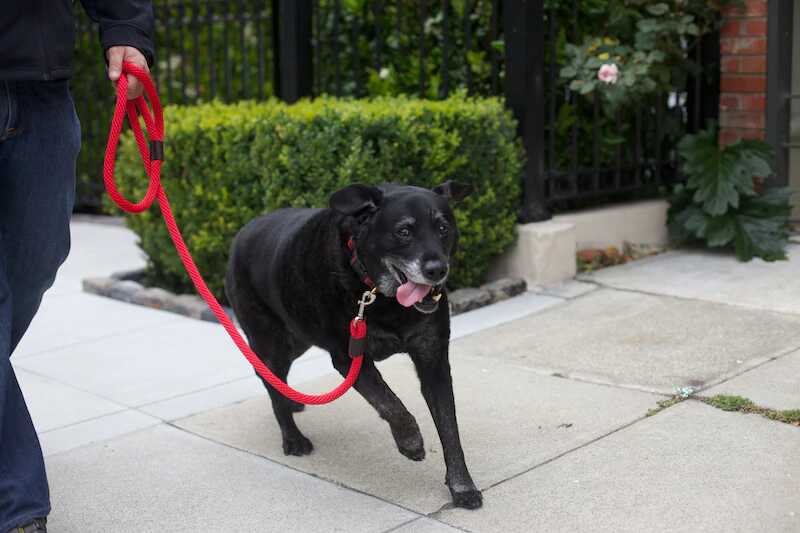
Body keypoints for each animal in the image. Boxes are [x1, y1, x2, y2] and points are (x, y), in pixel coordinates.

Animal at [228, 182, 484, 508]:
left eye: (443, 228)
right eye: (403, 232)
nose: (437, 270)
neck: (379, 295)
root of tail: (243, 232)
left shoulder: (434, 360)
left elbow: (450, 429)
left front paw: (462, 486)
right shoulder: (349, 359)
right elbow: (389, 402)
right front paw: (410, 441)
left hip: (296, 337)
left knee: (276, 376)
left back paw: (292, 401)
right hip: (270, 341)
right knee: (267, 377)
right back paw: (293, 437)